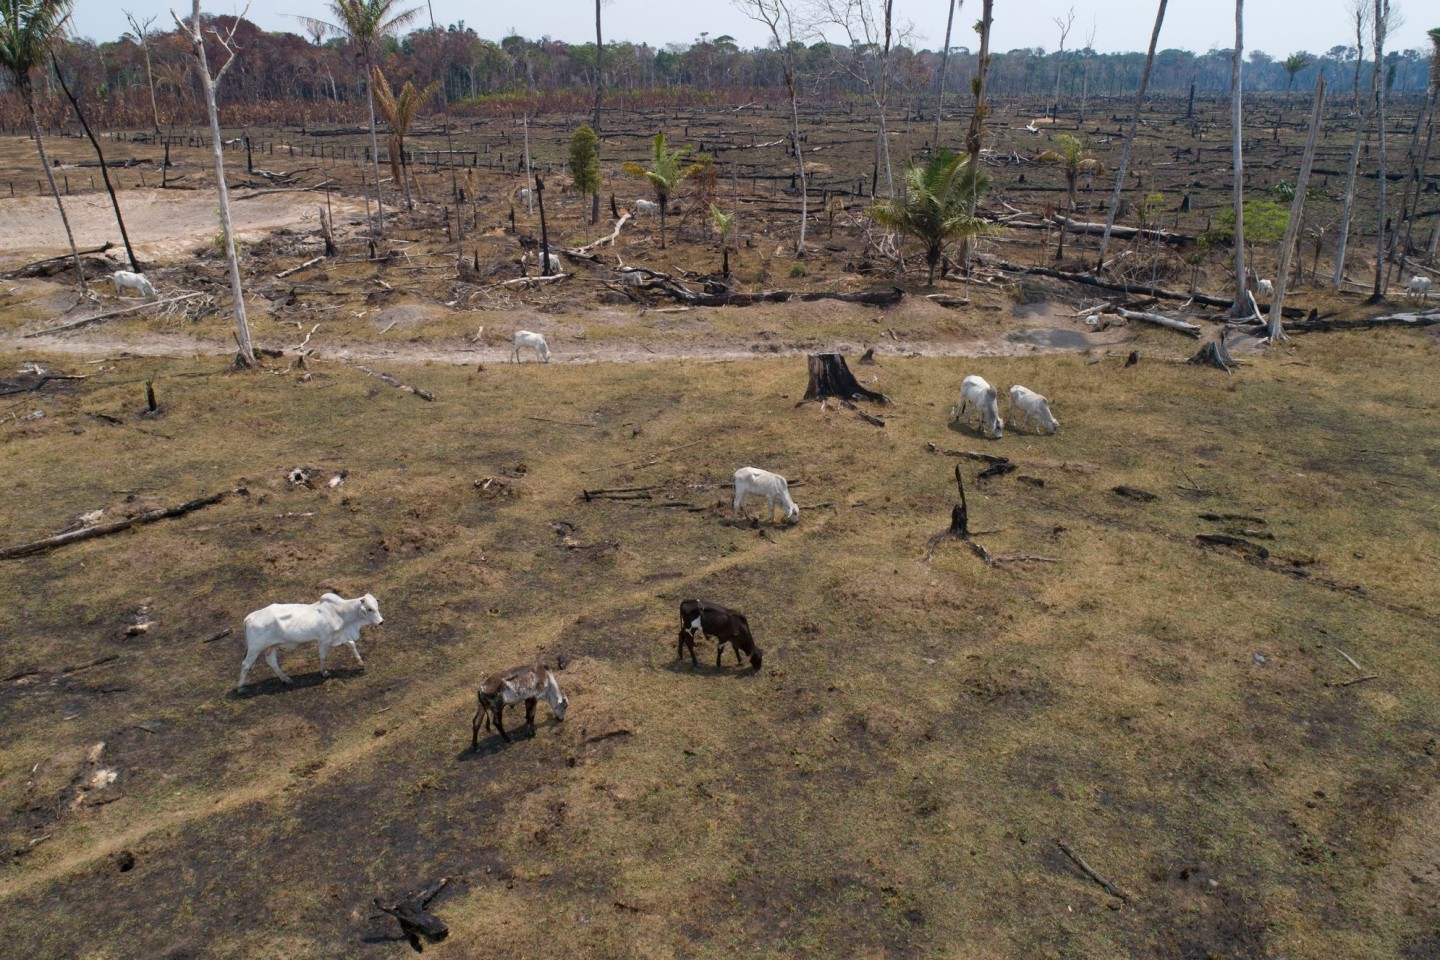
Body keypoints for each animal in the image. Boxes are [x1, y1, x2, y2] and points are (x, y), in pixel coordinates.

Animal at [236, 592, 383, 690]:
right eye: (369, 609)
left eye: (377, 606)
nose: (381, 622)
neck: (340, 613)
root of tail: (249, 617)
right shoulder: (324, 640)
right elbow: (323, 657)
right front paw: (324, 672)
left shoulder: (338, 635)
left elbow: (352, 644)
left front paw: (360, 662)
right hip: (255, 649)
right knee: (245, 664)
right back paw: (240, 687)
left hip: (271, 646)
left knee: (272, 662)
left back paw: (286, 679)